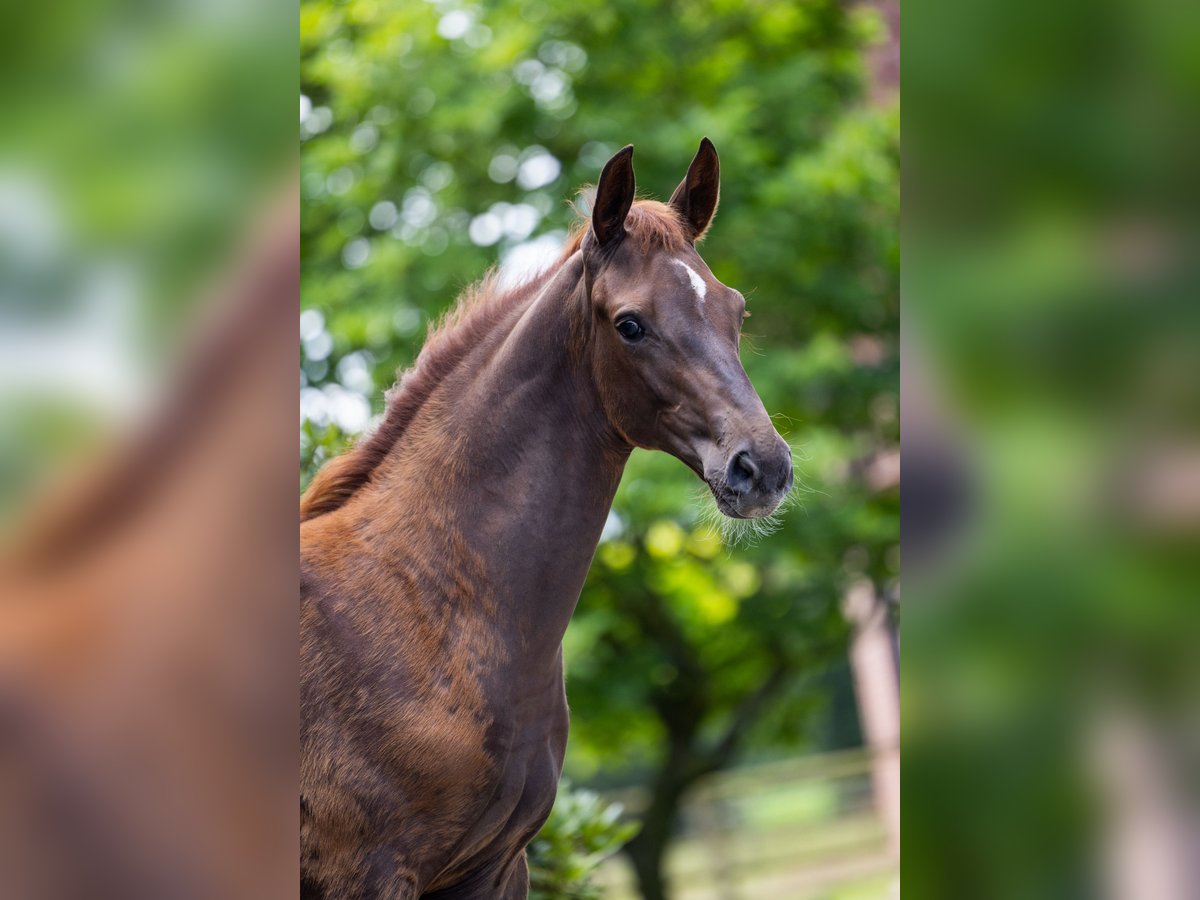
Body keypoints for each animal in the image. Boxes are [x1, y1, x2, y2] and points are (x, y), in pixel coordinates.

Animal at [296, 141, 792, 900]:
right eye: (630, 324)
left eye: (734, 311)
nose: (761, 468)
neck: (428, 602)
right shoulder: (368, 876)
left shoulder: (496, 866)